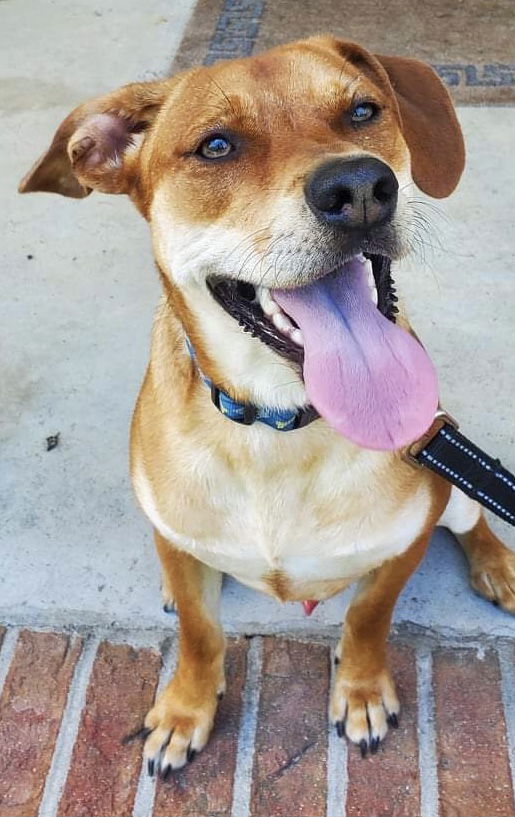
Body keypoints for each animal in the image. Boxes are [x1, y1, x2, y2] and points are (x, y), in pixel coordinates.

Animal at [20, 35, 515, 768]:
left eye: (362, 110)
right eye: (216, 146)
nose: (359, 188)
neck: (279, 427)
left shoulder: (403, 544)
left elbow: (368, 617)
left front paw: (360, 690)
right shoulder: (181, 542)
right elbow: (200, 634)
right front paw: (185, 708)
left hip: (447, 483)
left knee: (473, 516)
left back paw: (498, 565)